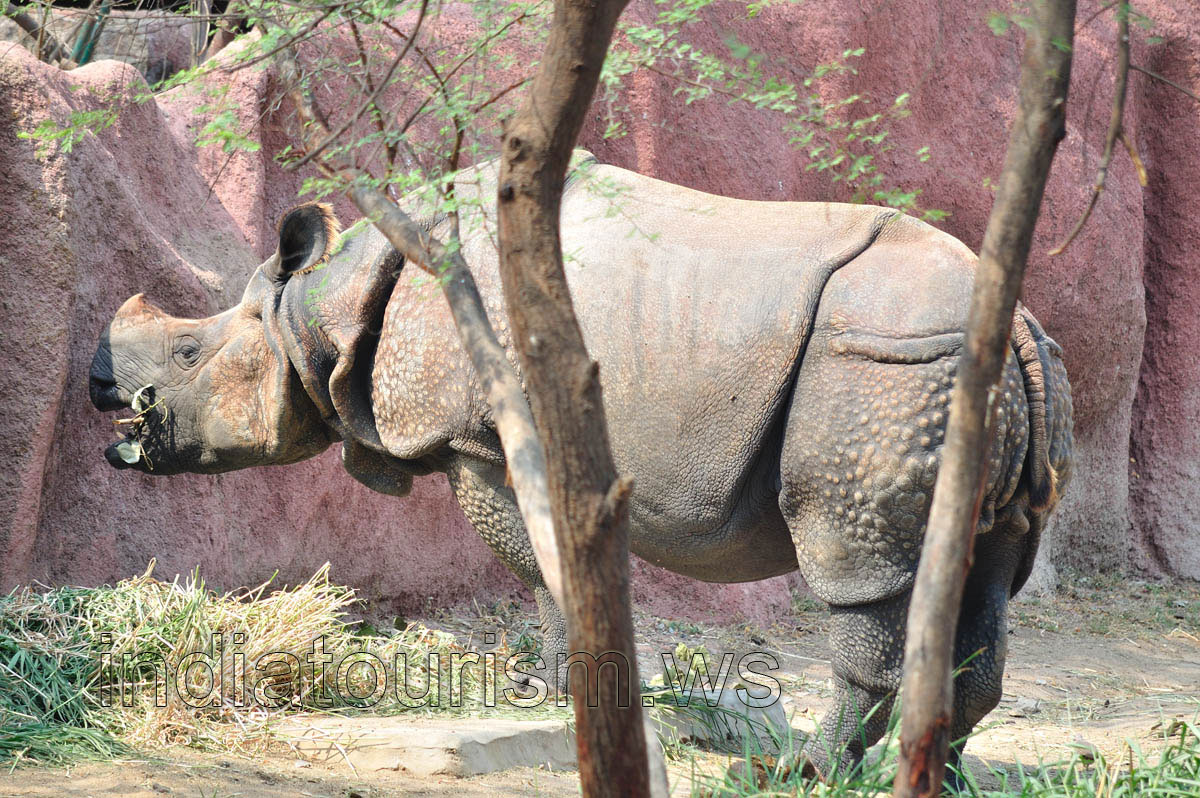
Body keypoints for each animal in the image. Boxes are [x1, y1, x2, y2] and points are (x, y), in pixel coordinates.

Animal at [89, 156, 1072, 778]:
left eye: (187, 352)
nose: (101, 389)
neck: (321, 311)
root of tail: (1022, 329)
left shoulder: (479, 439)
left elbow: (536, 564)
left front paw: (546, 690)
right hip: (967, 380)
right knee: (982, 571)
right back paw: (937, 774)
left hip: (884, 367)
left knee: (862, 568)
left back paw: (802, 769)